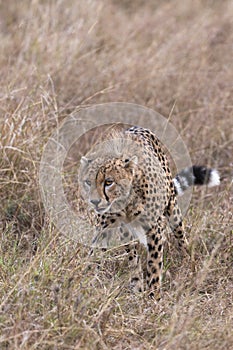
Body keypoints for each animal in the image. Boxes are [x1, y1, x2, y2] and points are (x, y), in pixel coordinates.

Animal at [78, 126, 220, 298]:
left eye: (108, 182)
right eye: (88, 182)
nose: (94, 201)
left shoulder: (155, 228)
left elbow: (154, 263)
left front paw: (154, 296)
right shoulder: (108, 225)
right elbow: (104, 253)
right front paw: (88, 281)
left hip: (173, 210)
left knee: (181, 239)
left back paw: (189, 267)